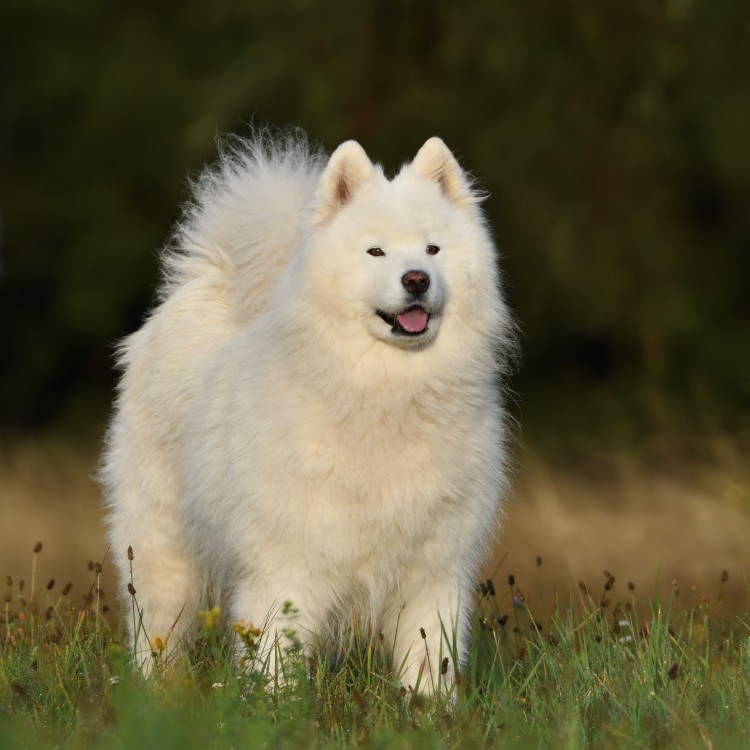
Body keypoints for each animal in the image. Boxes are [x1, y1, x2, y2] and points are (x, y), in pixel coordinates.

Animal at [103, 128, 516, 692]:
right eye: (375, 251)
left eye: (434, 248)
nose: (416, 279)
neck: (386, 395)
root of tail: (209, 286)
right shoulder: (288, 566)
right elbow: (274, 660)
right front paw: (271, 708)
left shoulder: (435, 572)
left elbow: (430, 665)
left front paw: (428, 712)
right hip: (162, 553)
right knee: (154, 633)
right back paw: (153, 696)